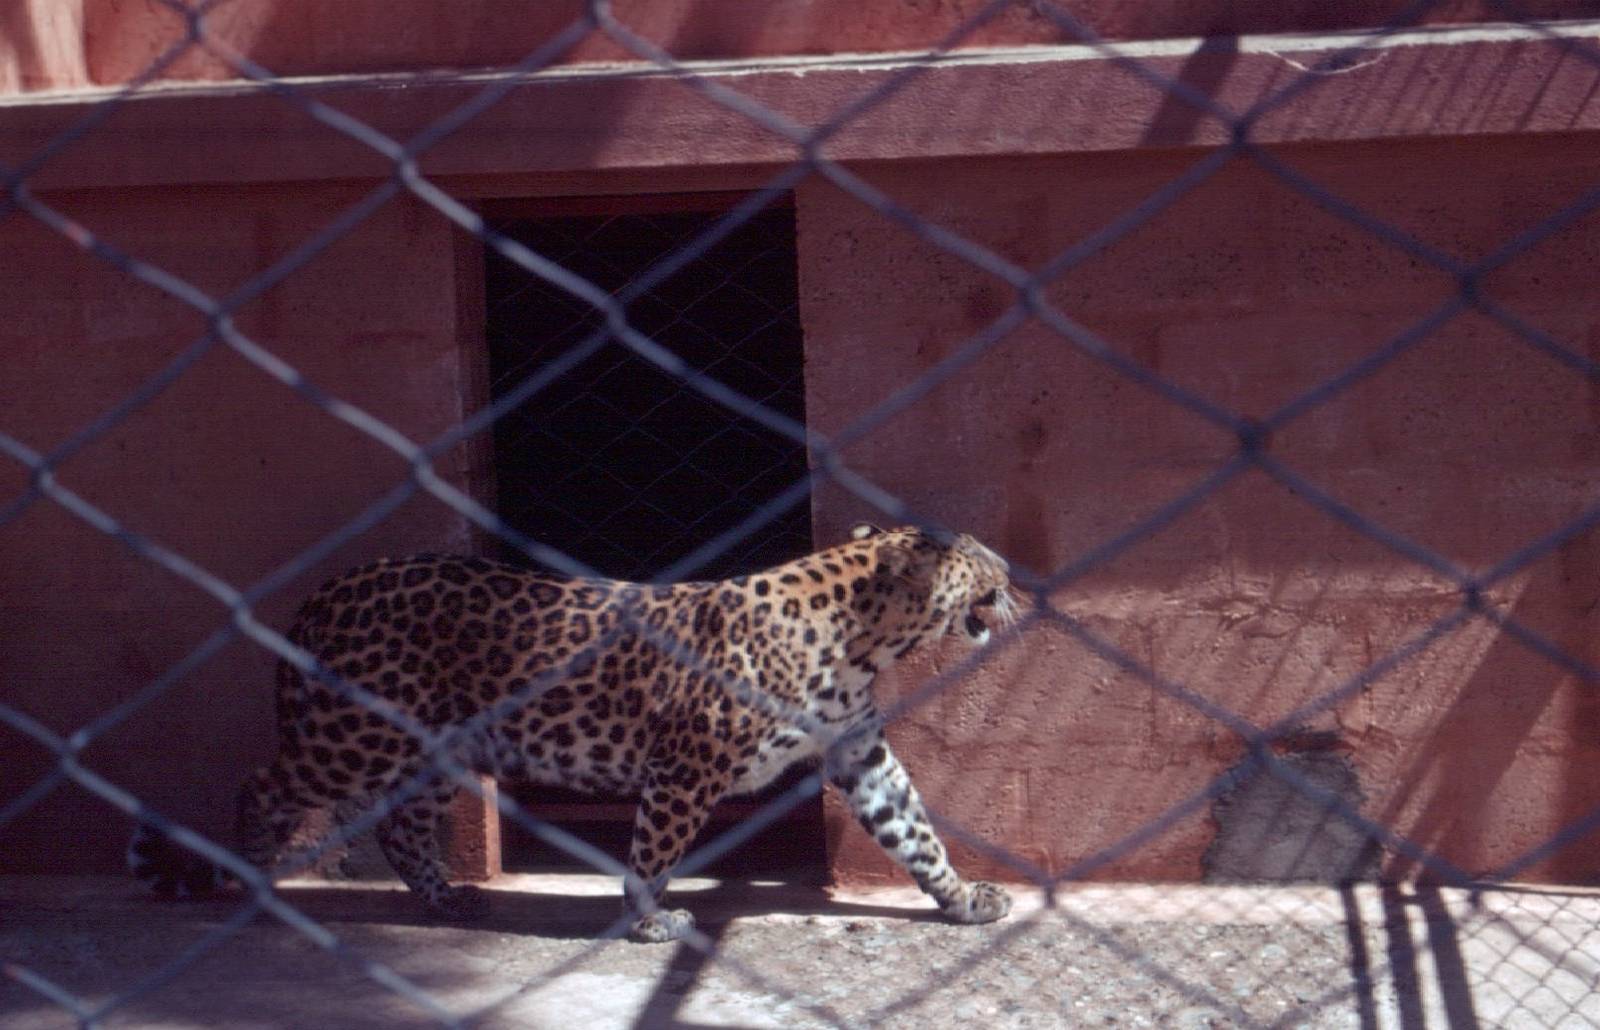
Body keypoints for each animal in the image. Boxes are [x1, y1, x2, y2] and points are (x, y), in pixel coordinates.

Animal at [129, 523, 1019, 942]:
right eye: (985, 564)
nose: (1015, 578)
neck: (866, 639)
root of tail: (322, 592)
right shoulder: (686, 765)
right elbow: (654, 852)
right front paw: (650, 922)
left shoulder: (857, 750)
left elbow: (913, 829)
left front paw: (963, 899)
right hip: (355, 737)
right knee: (266, 785)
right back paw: (255, 887)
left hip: (434, 746)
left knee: (404, 825)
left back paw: (446, 901)